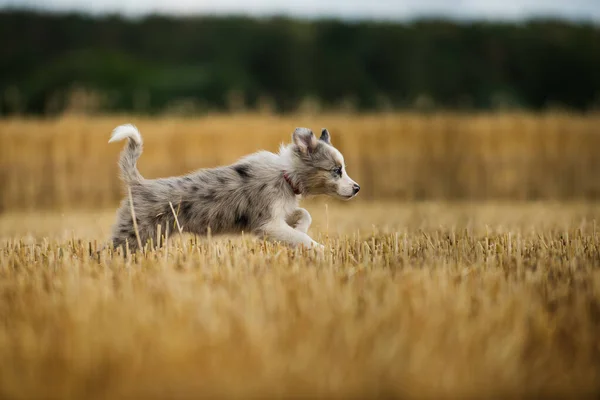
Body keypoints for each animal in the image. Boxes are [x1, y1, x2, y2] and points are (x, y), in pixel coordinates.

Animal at [108, 124, 358, 250]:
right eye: (336, 170)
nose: (357, 188)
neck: (286, 174)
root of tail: (138, 183)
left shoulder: (279, 213)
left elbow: (304, 214)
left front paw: (301, 228)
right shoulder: (268, 225)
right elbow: (303, 240)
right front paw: (323, 252)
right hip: (132, 234)